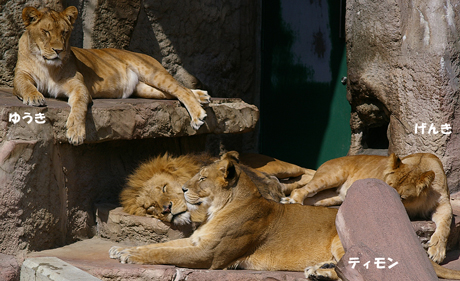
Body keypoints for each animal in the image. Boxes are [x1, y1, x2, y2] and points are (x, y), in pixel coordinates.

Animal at [13, 6, 208, 144]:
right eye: (46, 32)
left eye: (64, 32)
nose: (59, 51)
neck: (47, 66)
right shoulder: (21, 75)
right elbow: (25, 85)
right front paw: (34, 97)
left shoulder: (79, 85)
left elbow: (79, 107)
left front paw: (75, 132)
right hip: (145, 89)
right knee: (176, 92)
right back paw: (202, 96)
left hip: (153, 73)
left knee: (181, 90)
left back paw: (198, 114)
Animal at [284, 152, 452, 264]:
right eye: (385, 187)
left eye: (402, 197)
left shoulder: (443, 204)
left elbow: (446, 225)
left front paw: (437, 250)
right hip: (331, 176)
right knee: (300, 190)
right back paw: (293, 201)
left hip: (328, 197)